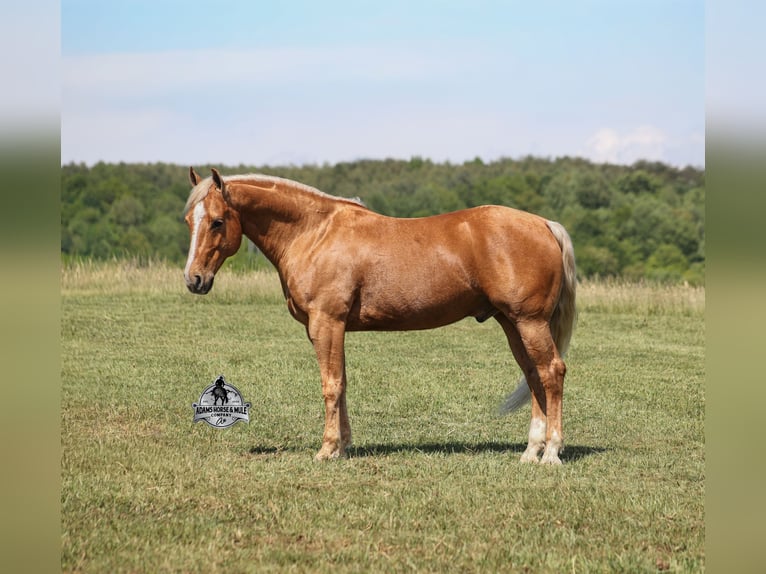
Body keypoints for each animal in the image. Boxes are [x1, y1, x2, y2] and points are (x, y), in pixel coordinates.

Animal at [183, 167, 576, 464]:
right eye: (190, 220)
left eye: (217, 222)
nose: (194, 279)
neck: (314, 232)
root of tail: (544, 224)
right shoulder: (330, 328)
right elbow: (341, 383)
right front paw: (342, 447)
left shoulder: (327, 323)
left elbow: (331, 385)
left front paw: (327, 450)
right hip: (513, 323)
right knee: (534, 375)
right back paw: (531, 451)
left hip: (530, 322)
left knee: (551, 373)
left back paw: (551, 453)